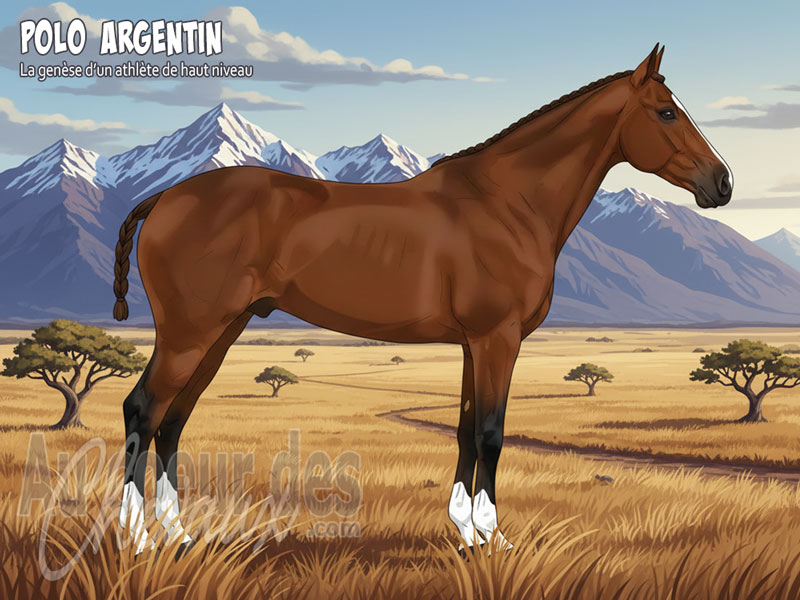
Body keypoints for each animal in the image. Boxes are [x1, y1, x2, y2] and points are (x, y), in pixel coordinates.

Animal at [113, 44, 733, 555]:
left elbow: (465, 430)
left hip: (222, 331)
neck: (508, 203)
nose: (722, 183)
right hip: (190, 333)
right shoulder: (497, 338)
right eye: (666, 112)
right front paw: (491, 538)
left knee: (173, 421)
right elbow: (491, 433)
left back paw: (180, 535)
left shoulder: (472, 345)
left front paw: (465, 531)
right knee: (143, 410)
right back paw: (138, 538)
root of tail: (165, 196)